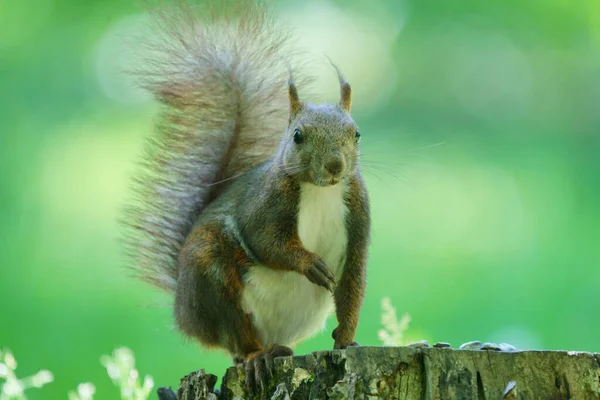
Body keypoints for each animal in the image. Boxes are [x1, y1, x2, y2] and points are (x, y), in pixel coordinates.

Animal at [123, 0, 370, 394]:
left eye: (356, 133)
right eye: (297, 135)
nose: (335, 165)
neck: (321, 190)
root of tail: (183, 310)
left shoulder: (358, 213)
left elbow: (353, 281)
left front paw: (346, 342)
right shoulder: (265, 204)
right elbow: (266, 241)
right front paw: (309, 264)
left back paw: (277, 351)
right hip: (213, 279)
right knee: (238, 336)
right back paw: (255, 357)